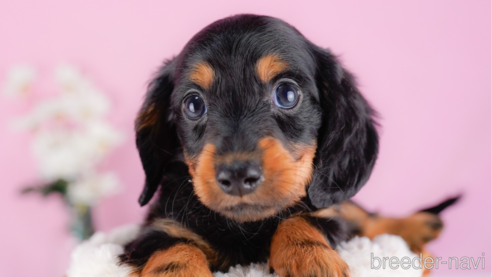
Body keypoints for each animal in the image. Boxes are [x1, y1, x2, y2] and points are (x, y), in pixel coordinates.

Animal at [120, 14, 380, 276]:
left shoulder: (328, 212)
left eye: (287, 94)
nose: (237, 176)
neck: (245, 227)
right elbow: (173, 245)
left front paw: (309, 255)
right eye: (194, 104)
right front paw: (179, 269)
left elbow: (303, 218)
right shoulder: (158, 226)